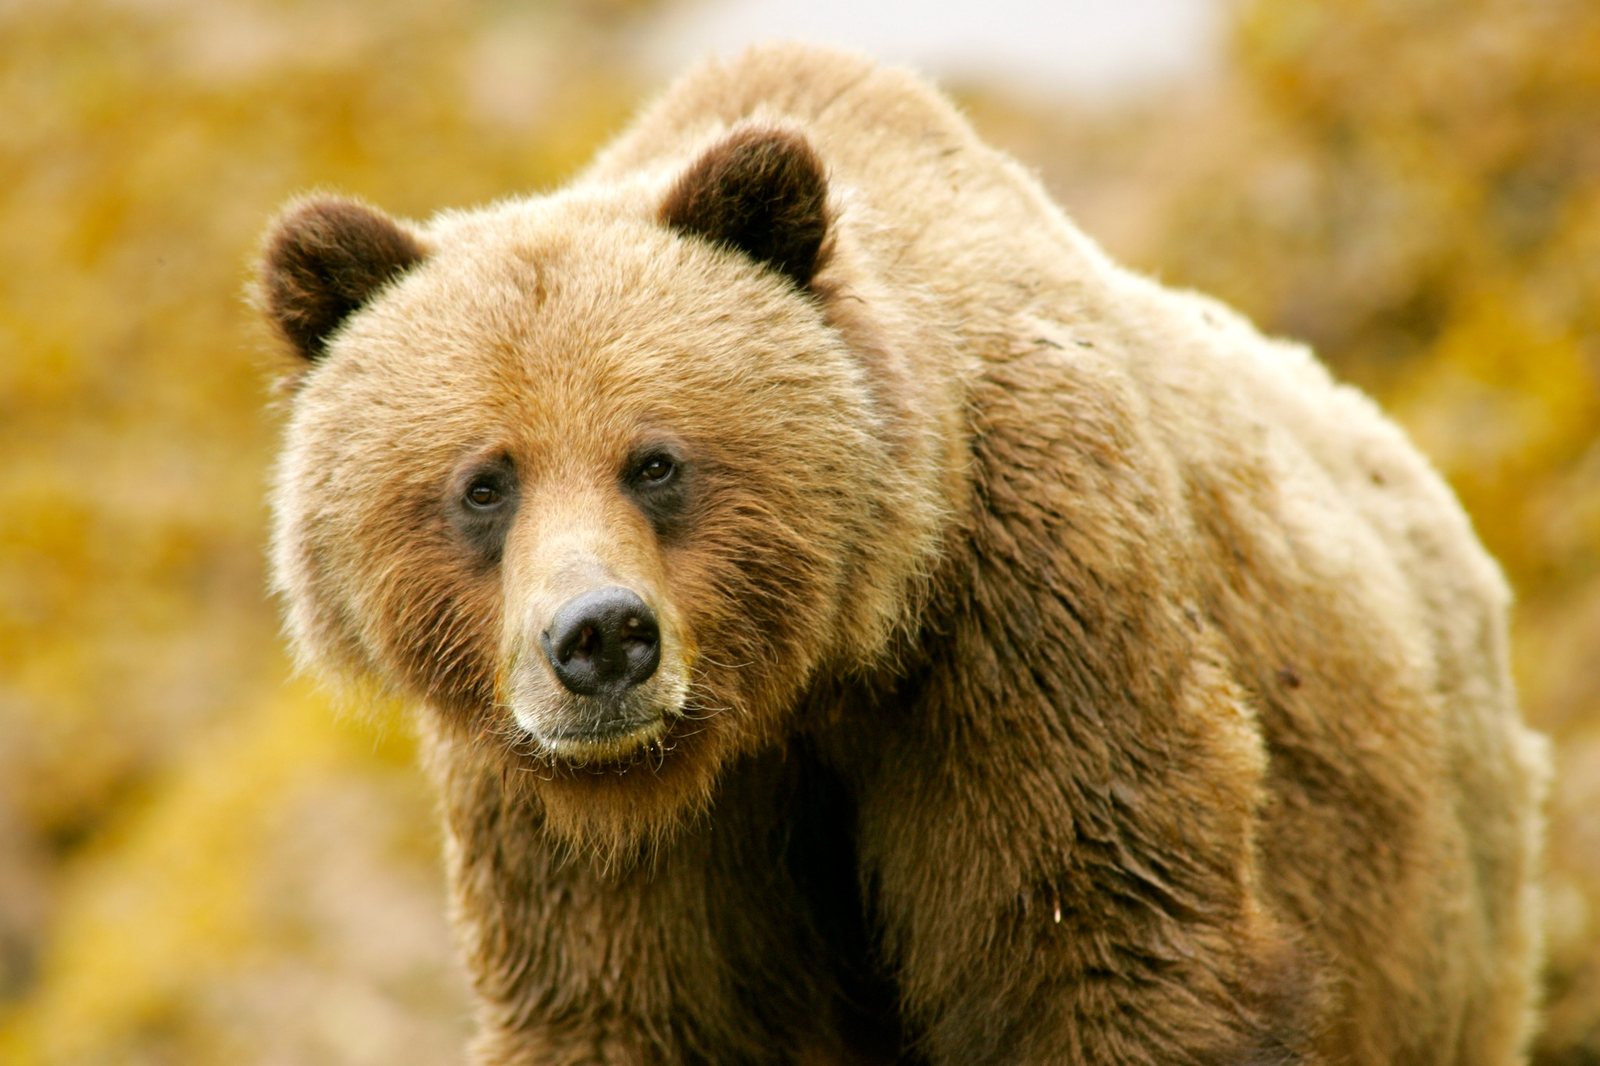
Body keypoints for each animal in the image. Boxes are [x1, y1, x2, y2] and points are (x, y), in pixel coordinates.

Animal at [258, 44, 1548, 1065]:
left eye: (656, 460)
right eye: (484, 482)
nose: (602, 637)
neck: (803, 681)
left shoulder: (1026, 634)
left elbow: (1097, 942)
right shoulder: (587, 829)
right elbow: (622, 1005)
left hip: (1431, 921)